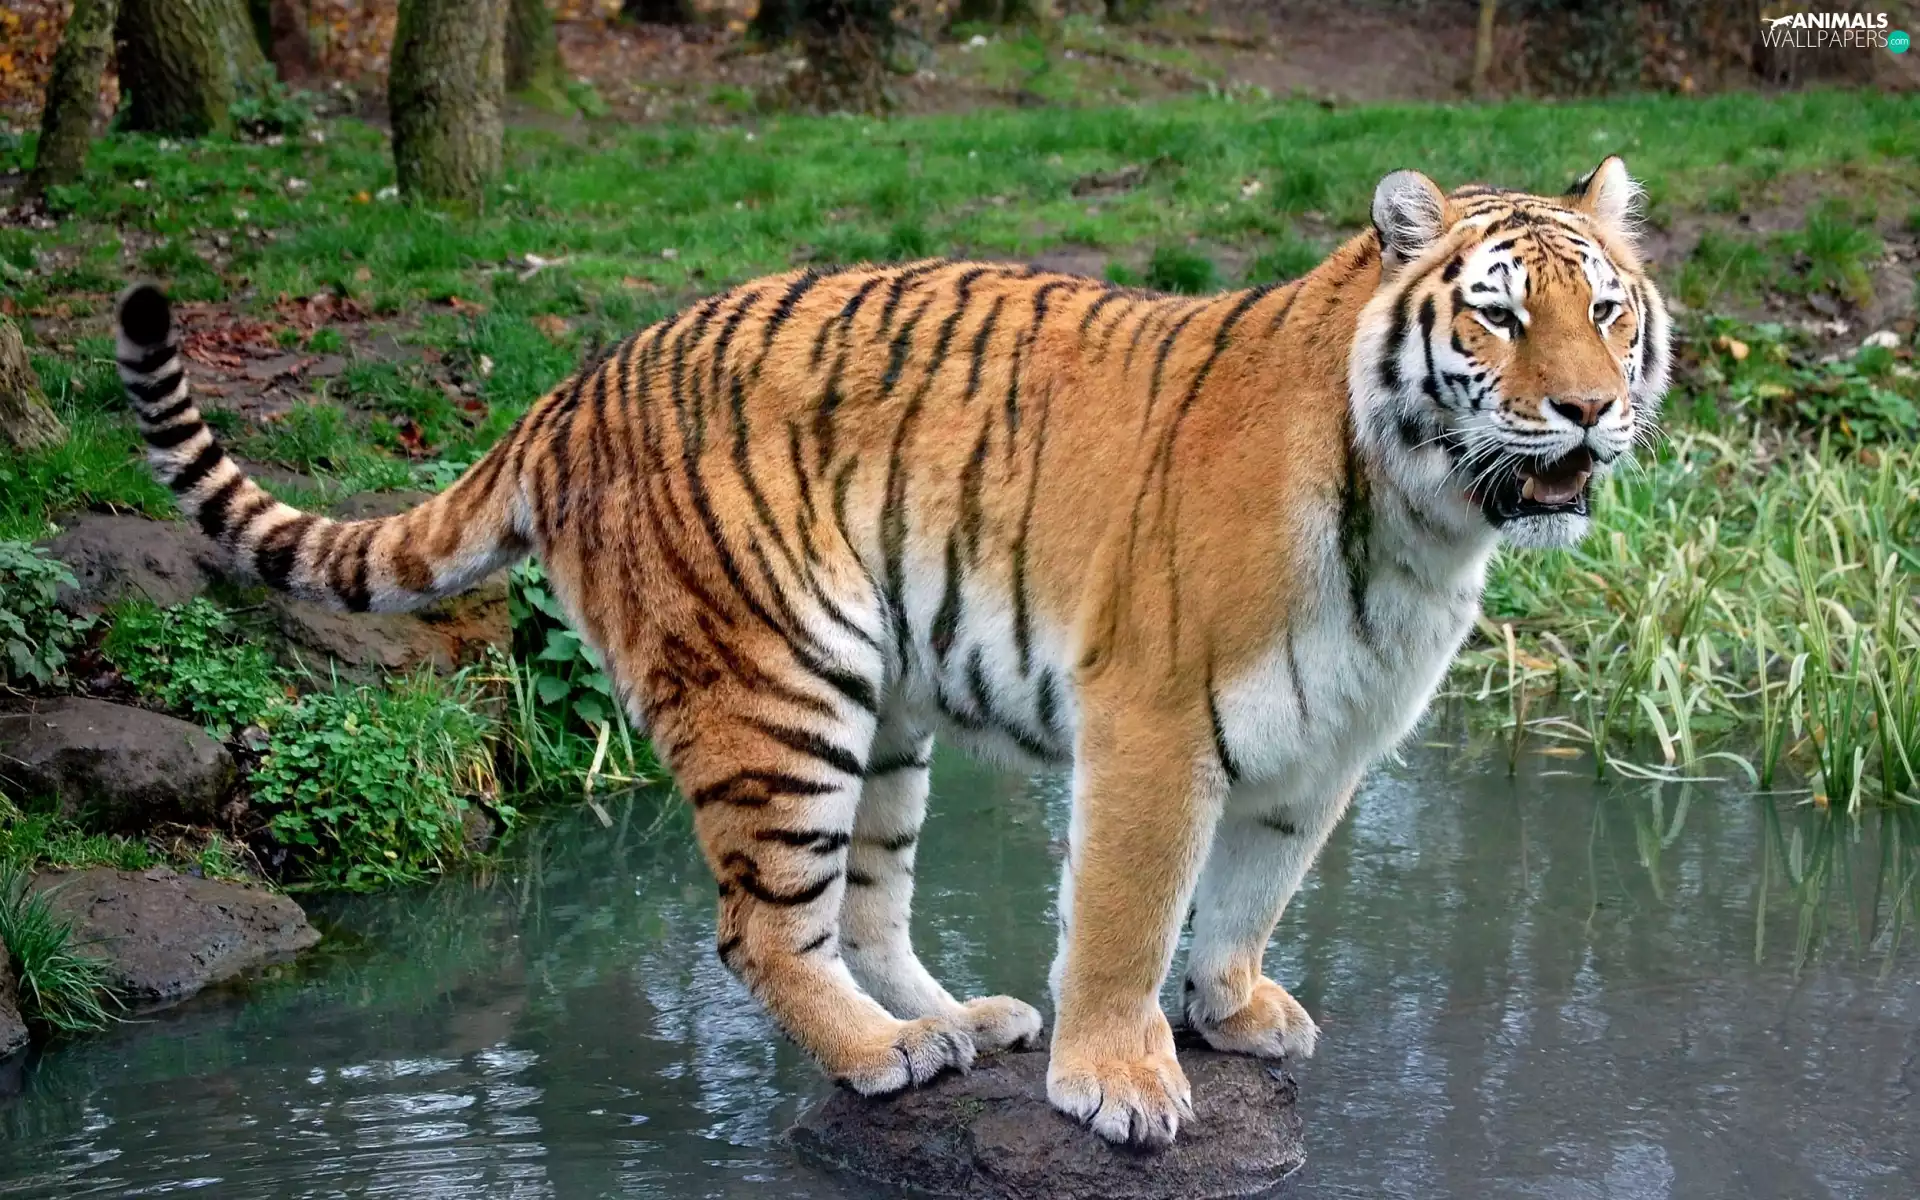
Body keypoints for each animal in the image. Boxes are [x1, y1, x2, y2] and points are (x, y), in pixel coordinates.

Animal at [114, 155, 1669, 1147]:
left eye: (1606, 309)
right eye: (1497, 315)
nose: (1589, 410)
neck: (1423, 523)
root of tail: (574, 383)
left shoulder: (1328, 742)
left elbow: (1249, 897)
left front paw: (1230, 1013)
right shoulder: (1155, 721)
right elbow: (1130, 910)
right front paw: (1121, 1080)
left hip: (885, 711)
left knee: (861, 907)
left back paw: (962, 1022)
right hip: (776, 690)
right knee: (759, 927)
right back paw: (883, 1055)